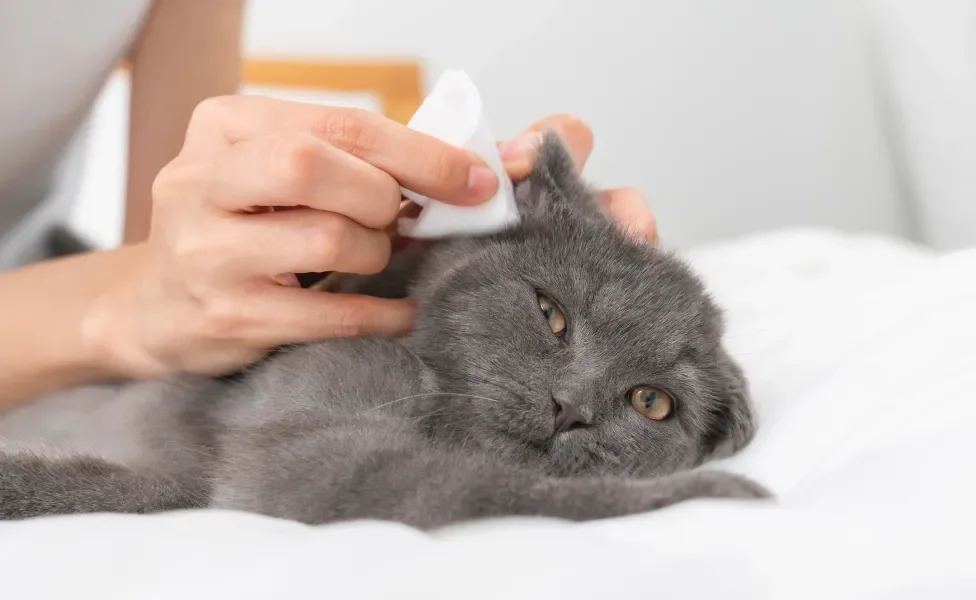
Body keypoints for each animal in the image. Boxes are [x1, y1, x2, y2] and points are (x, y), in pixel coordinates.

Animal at [0, 134, 772, 528]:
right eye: (552, 313)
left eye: (652, 402)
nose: (571, 407)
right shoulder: (305, 442)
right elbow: (466, 487)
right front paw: (706, 494)